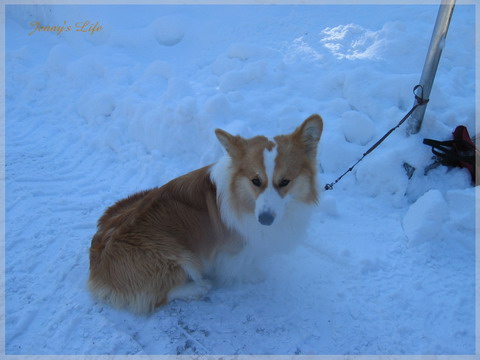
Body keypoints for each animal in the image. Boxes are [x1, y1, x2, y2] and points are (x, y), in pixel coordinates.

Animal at [88, 114, 324, 314]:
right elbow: (239, 266)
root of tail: (96, 272)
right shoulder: (232, 251)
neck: (244, 198)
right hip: (177, 255)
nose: (265, 220)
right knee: (157, 297)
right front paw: (253, 275)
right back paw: (197, 288)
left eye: (285, 182)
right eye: (255, 181)